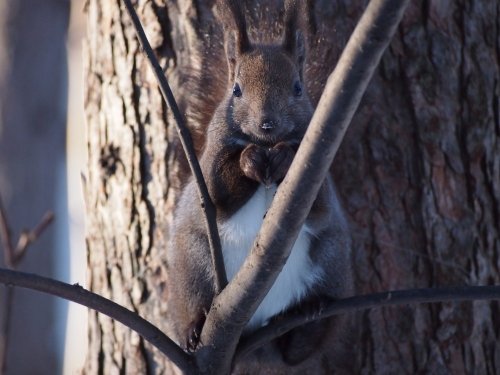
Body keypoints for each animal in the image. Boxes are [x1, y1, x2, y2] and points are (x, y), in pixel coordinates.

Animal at [168, 0, 352, 364]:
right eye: (236, 90)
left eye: (298, 88)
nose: (267, 124)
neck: (266, 144)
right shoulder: (209, 174)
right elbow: (219, 197)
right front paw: (250, 160)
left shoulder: (320, 172)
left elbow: (320, 209)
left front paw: (283, 158)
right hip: (193, 263)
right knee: (193, 303)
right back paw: (194, 328)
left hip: (331, 258)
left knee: (304, 347)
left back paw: (308, 321)